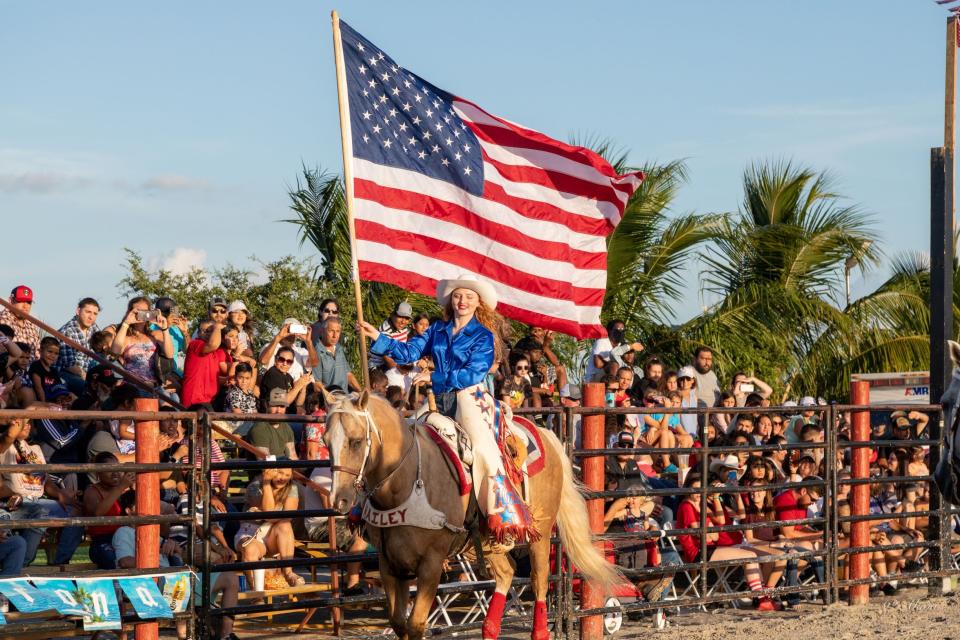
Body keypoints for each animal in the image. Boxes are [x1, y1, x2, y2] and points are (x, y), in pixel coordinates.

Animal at [326, 388, 620, 636]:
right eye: (327, 442)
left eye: (355, 441)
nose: (339, 500)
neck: (408, 483)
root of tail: (546, 435)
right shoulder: (390, 564)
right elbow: (399, 623)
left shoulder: (431, 564)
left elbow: (416, 624)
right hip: (489, 542)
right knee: (506, 573)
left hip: (542, 533)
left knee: (538, 581)